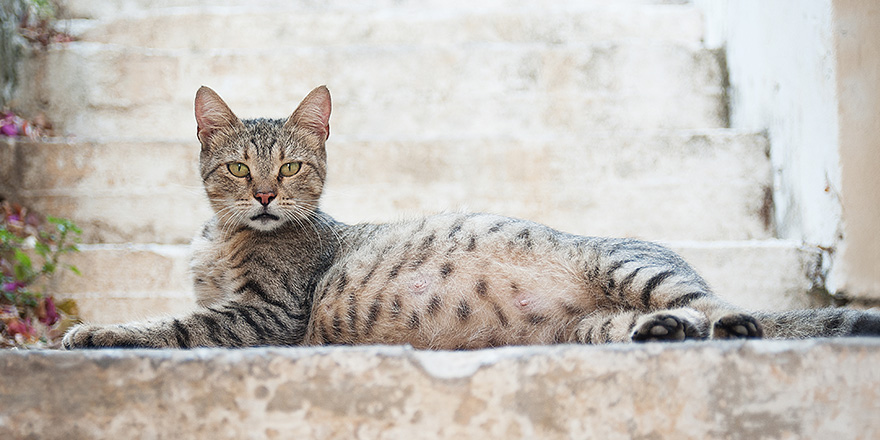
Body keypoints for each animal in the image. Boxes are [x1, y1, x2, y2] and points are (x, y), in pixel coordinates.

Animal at [65, 85, 880, 348]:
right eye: (239, 169)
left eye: (290, 169)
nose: (264, 196)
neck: (224, 238)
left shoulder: (265, 315)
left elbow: (172, 325)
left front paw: (91, 333)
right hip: (594, 326)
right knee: (662, 324)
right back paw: (665, 333)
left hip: (634, 267)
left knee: (732, 310)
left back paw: (730, 325)